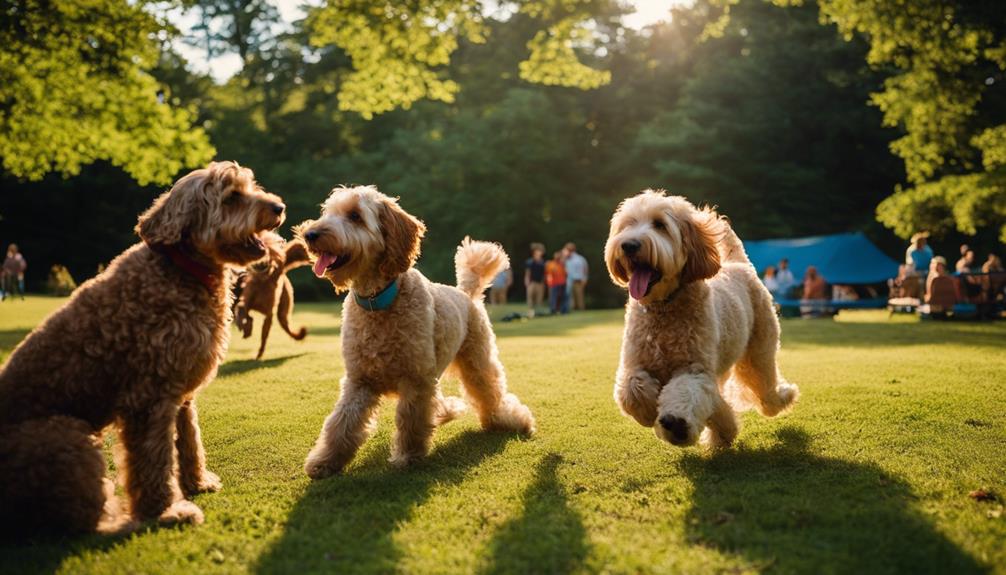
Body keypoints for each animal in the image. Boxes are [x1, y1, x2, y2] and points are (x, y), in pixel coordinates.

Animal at [0, 160, 285, 534]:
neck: (182, 270)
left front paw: (197, 483)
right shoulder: (148, 399)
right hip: (66, 436)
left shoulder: (180, 396)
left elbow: (189, 441)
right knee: (83, 521)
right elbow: (153, 462)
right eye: (232, 197)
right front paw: (164, 511)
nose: (279, 207)